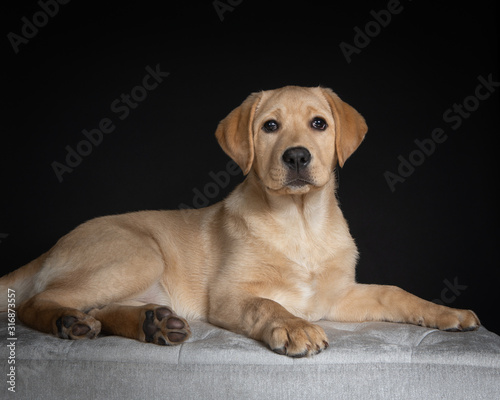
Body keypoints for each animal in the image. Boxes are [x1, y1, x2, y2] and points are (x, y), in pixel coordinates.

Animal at [0, 86, 478, 356]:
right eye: (269, 127)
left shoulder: (337, 297)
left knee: (97, 307)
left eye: (318, 124)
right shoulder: (229, 295)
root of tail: (52, 247)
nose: (297, 156)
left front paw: (447, 313)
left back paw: (153, 324)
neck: (300, 224)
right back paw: (69, 323)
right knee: (36, 300)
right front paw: (294, 327)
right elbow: (265, 304)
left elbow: (395, 293)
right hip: (138, 254)